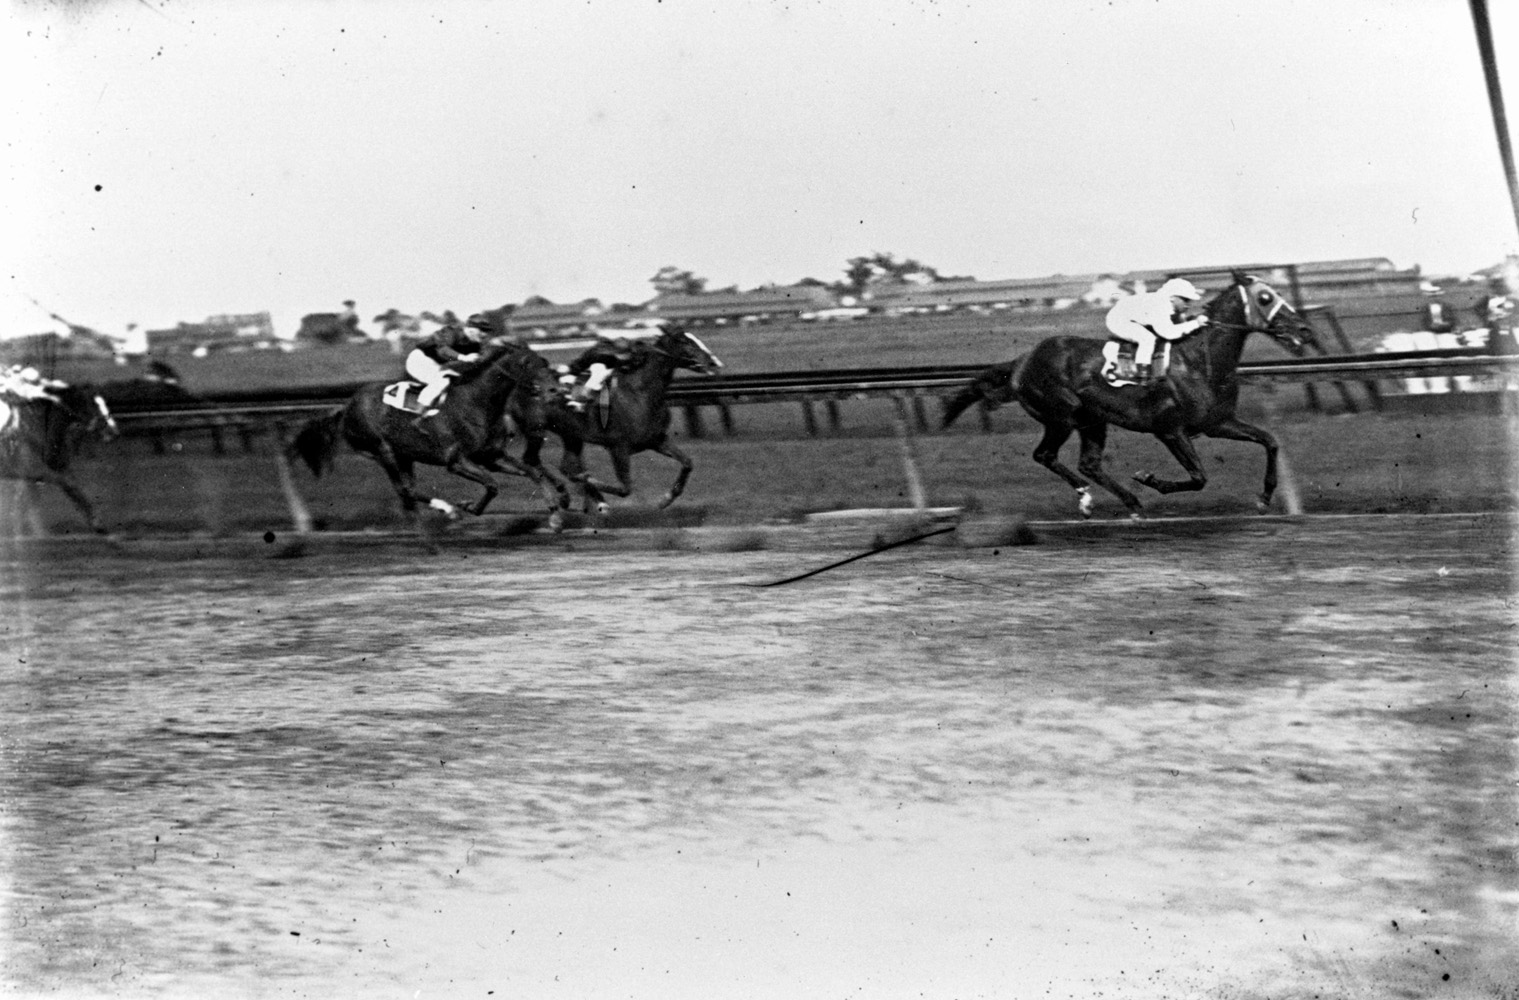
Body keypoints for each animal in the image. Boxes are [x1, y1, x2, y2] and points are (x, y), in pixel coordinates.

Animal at [0, 381, 119, 534]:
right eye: (92, 404)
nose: (113, 431)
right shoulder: (35, 474)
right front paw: (38, 532)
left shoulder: (56, 470)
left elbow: (76, 491)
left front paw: (97, 524)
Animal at [287, 337, 568, 525]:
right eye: (528, 364)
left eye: (545, 362)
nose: (556, 391)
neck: (476, 402)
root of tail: (347, 407)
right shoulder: (457, 461)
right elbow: (492, 484)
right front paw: (468, 507)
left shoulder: (490, 456)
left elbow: (532, 472)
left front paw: (556, 511)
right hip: (382, 451)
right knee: (405, 490)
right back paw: (448, 509)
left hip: (404, 455)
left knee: (408, 489)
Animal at [941, 268, 1312, 516]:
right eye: (1265, 297)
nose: (1304, 329)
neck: (1199, 360)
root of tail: (1022, 360)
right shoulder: (1170, 430)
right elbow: (1198, 477)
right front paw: (1149, 478)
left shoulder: (1216, 423)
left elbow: (1270, 441)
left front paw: (1264, 497)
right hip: (1061, 416)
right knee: (1045, 455)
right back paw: (1087, 498)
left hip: (1092, 420)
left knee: (1089, 463)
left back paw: (1131, 503)